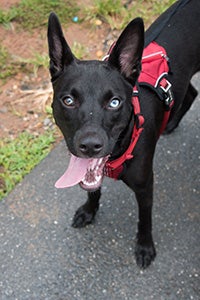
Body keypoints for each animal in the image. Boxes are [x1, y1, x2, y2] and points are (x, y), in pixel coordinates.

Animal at [47, 0, 199, 268]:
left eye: (115, 102)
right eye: (68, 100)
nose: (90, 145)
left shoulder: (145, 186)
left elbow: (144, 219)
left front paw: (145, 247)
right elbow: (93, 189)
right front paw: (89, 211)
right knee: (190, 93)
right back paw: (171, 123)